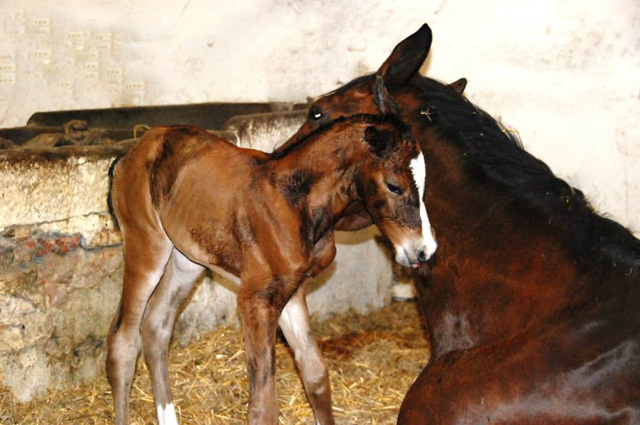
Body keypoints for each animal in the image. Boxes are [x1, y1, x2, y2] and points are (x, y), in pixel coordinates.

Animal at [106, 113, 436, 424]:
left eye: (424, 185)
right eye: (394, 186)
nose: (424, 250)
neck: (295, 202)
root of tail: (134, 149)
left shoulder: (292, 290)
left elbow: (316, 375)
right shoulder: (256, 300)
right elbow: (263, 405)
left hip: (186, 259)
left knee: (156, 326)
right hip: (146, 245)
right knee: (123, 340)